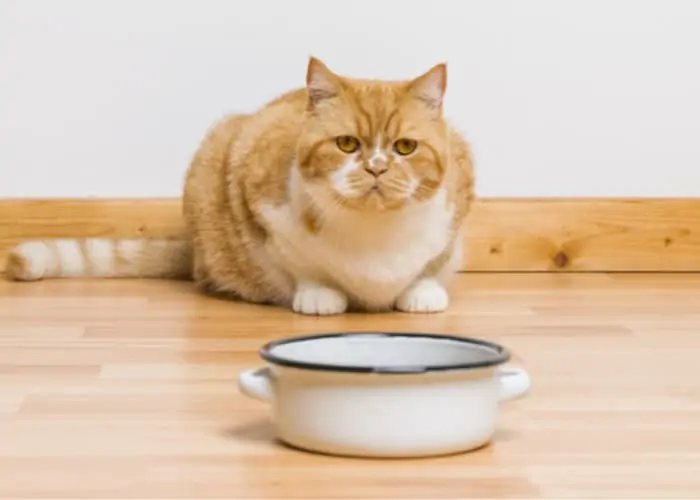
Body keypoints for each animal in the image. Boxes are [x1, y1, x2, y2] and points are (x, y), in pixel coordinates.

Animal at [5, 57, 476, 316]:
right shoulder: (252, 187)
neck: (374, 233)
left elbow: (431, 262)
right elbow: (299, 263)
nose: (377, 168)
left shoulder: (458, 201)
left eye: (404, 147)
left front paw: (421, 290)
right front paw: (319, 292)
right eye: (346, 144)